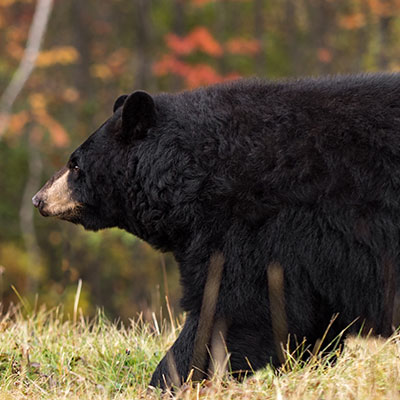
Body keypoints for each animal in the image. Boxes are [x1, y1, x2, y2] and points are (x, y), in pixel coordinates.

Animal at [33, 74, 400, 388]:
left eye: (75, 164)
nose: (39, 199)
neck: (195, 175)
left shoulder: (254, 225)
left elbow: (234, 306)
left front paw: (169, 378)